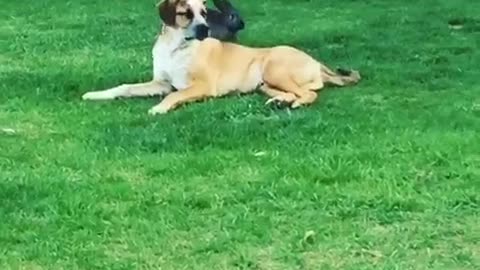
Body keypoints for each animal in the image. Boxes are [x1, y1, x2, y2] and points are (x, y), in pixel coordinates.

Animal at [82, 0, 360, 114]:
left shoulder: (201, 86)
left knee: (309, 94)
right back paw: (280, 102)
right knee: (295, 92)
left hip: (274, 67)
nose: (204, 29)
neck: (176, 47)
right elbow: (125, 87)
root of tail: (317, 63)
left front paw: (159, 108)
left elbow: (173, 95)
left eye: (204, 13)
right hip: (265, 84)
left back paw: (295, 104)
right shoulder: (160, 82)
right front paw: (95, 95)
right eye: (185, 13)